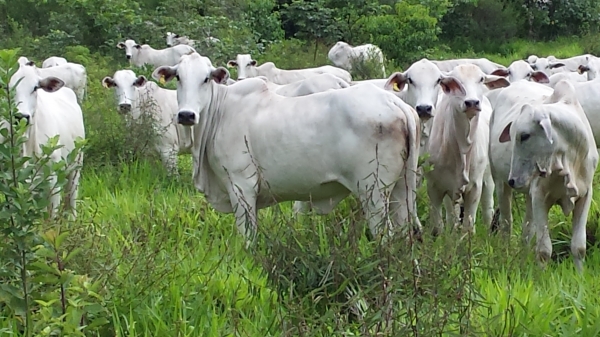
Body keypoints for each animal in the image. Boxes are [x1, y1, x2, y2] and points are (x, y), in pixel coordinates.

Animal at [7, 63, 85, 217]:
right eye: (9, 87)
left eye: (35, 87)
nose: (21, 117)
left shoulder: (52, 175)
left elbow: (52, 213)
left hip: (76, 166)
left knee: (71, 201)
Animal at [155, 53, 422, 245]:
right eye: (178, 77)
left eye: (206, 78)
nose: (186, 115)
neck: (220, 111)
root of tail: (396, 103)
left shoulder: (242, 187)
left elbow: (247, 239)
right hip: (401, 189)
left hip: (373, 192)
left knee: (385, 237)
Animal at [424, 63, 508, 234]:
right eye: (455, 81)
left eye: (481, 79)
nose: (472, 103)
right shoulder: (433, 187)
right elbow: (438, 227)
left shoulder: (475, 187)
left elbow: (468, 227)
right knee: (452, 213)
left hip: (488, 179)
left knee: (487, 208)